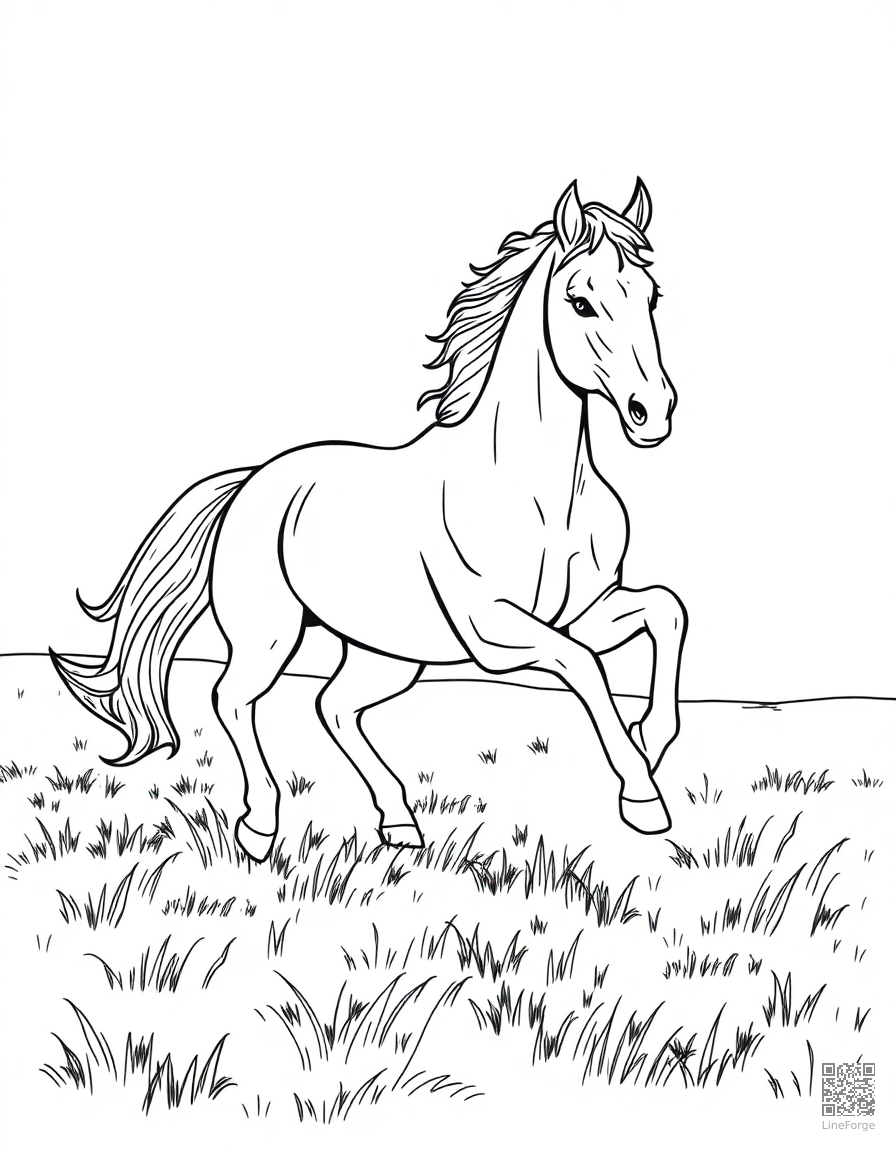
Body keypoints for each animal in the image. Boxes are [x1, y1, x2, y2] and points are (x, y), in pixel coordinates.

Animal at [52, 179, 687, 864]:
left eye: (650, 296)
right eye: (580, 302)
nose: (653, 412)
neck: (539, 492)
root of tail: (250, 482)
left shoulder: (584, 612)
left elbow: (665, 611)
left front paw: (652, 740)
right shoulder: (496, 632)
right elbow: (585, 668)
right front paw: (643, 799)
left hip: (387, 651)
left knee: (333, 707)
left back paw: (400, 824)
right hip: (270, 633)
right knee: (234, 698)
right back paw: (261, 828)